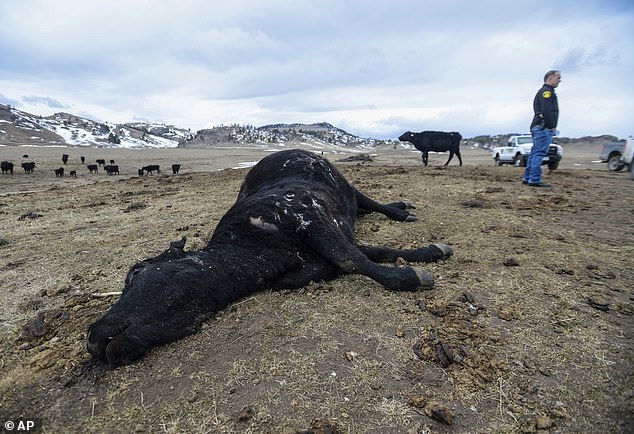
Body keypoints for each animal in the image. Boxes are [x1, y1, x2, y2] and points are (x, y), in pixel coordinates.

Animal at [86, 149, 452, 366]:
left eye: (135, 272)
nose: (93, 338)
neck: (255, 250)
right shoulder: (312, 249)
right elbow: (362, 255)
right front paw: (430, 253)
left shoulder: (309, 217)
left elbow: (351, 259)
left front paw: (413, 274)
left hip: (345, 185)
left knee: (370, 202)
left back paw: (401, 210)